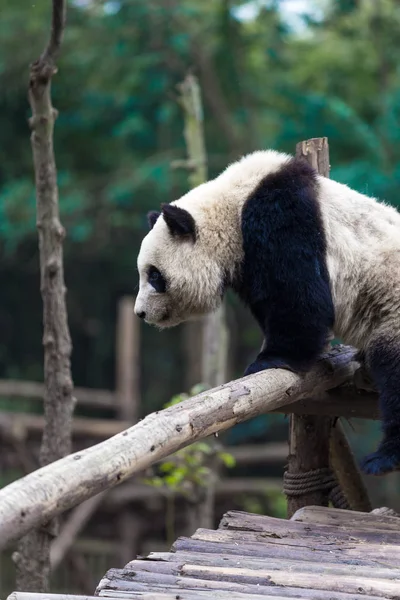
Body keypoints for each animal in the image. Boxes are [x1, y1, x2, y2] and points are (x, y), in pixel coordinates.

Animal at [134, 151, 400, 478]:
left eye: (154, 275)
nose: (140, 313)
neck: (234, 203)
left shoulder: (281, 216)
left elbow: (300, 296)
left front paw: (271, 359)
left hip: (392, 308)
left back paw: (384, 459)